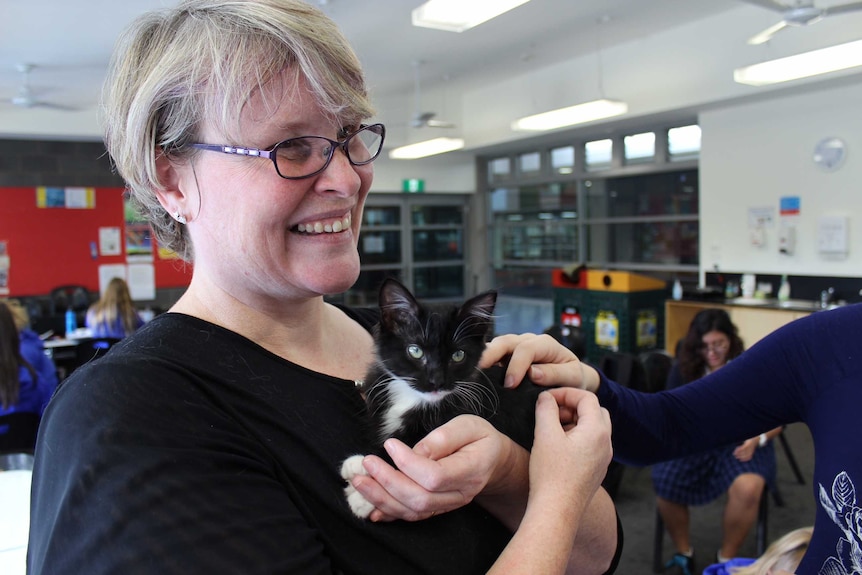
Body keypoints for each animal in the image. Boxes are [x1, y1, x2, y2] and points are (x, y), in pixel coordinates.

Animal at [340, 276, 544, 520]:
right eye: (415, 351)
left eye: (458, 355)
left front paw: (363, 482)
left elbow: (405, 445)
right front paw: (361, 466)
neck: (414, 397)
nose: (437, 381)